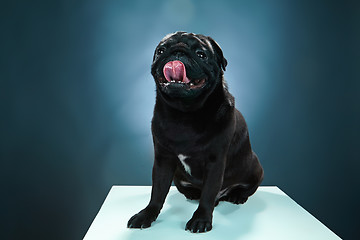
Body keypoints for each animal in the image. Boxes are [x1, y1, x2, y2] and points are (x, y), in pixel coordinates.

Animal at [128, 31, 262, 232]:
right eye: (161, 51)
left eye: (201, 54)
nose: (178, 51)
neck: (184, 113)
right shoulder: (163, 160)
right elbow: (157, 191)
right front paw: (146, 214)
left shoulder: (215, 162)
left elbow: (208, 193)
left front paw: (201, 219)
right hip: (177, 176)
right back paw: (193, 194)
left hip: (255, 167)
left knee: (241, 189)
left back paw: (237, 195)